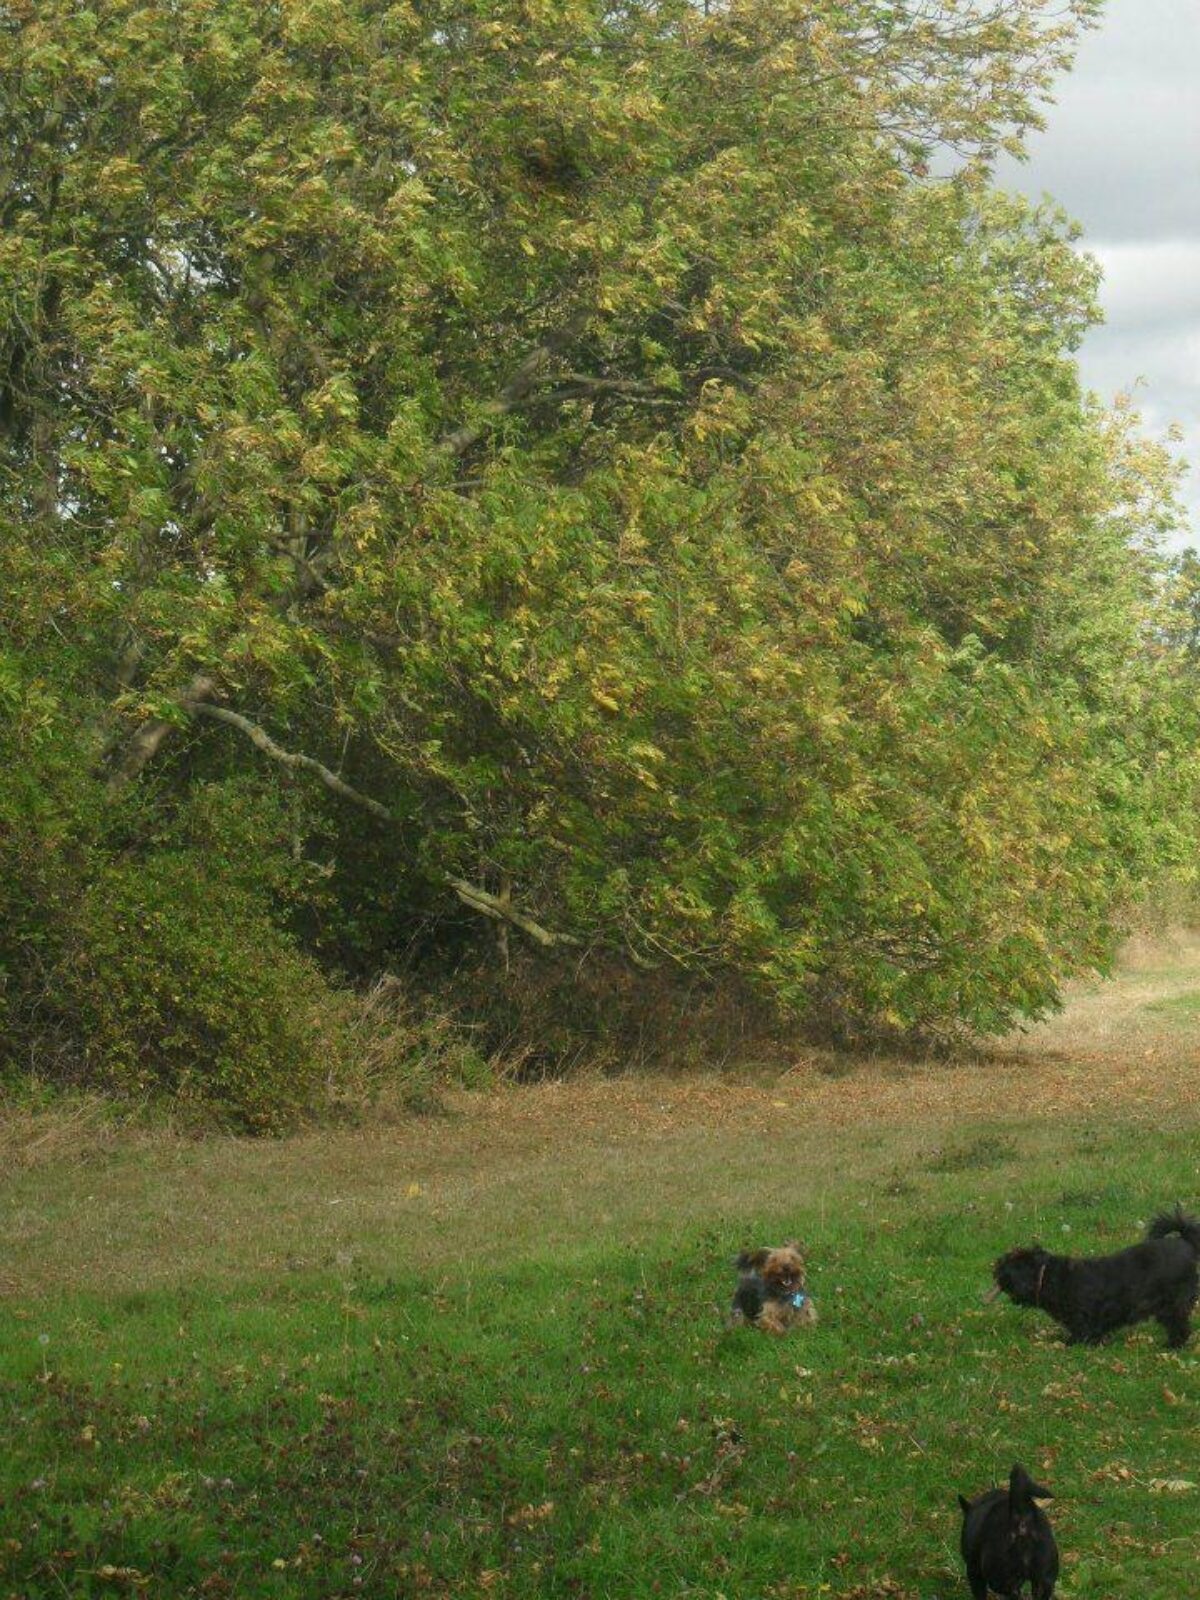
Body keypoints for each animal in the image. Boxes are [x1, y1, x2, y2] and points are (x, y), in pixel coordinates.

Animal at [985, 1203, 1200, 1344]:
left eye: (1006, 1263)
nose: (995, 1267)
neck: (1048, 1276)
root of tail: (1186, 1242)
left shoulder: (1083, 1318)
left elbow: (1081, 1334)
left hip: (1173, 1303)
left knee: (1179, 1326)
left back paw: (1173, 1345)